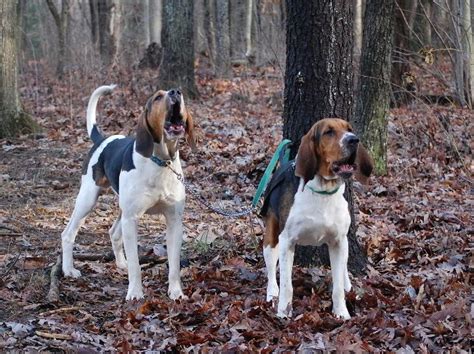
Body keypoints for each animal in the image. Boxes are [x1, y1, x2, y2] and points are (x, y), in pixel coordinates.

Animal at [61, 84, 194, 300]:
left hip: (121, 208)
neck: (160, 162)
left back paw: (120, 264)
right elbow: (136, 265)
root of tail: (102, 139)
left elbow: (174, 265)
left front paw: (176, 292)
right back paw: (68, 270)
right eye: (158, 97)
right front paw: (135, 293)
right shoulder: (132, 219)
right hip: (88, 200)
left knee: (113, 233)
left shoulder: (174, 220)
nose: (176, 92)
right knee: (68, 234)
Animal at [260, 117, 374, 320]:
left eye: (349, 129)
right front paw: (284, 313)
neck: (323, 191)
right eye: (329, 132)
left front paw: (341, 313)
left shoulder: (338, 241)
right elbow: (287, 286)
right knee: (272, 270)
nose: (354, 140)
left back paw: (348, 285)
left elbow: (337, 287)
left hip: (344, 243)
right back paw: (272, 293)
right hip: (271, 239)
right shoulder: (287, 241)